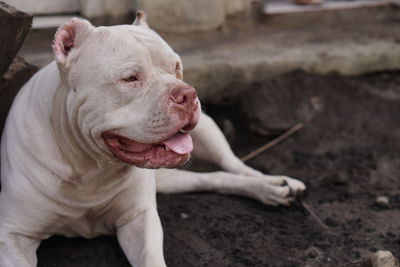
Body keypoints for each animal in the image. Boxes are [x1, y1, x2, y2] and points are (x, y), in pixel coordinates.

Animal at [0, 12, 304, 267]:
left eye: (177, 67)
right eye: (130, 78)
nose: (187, 94)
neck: (90, 168)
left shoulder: (139, 218)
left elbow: (150, 258)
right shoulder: (12, 236)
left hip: (208, 131)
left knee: (233, 165)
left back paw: (274, 184)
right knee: (211, 178)